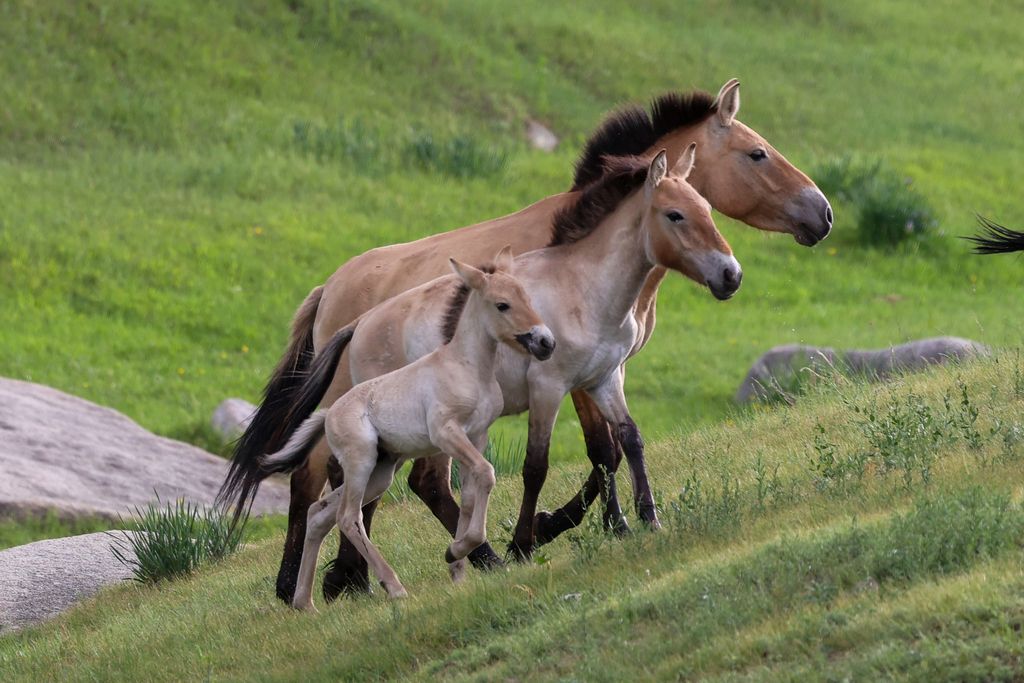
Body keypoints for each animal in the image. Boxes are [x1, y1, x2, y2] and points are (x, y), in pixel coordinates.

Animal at [259, 248, 554, 610]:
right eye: (502, 305)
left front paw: (457, 567)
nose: (545, 342)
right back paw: (393, 587)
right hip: (361, 464)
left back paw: (305, 602)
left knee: (320, 514)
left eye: (527, 296)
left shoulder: (476, 435)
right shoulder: (446, 433)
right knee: (348, 517)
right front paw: (457, 551)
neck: (465, 366)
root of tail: (328, 415)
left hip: (380, 472)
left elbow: (471, 495)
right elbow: (486, 474)